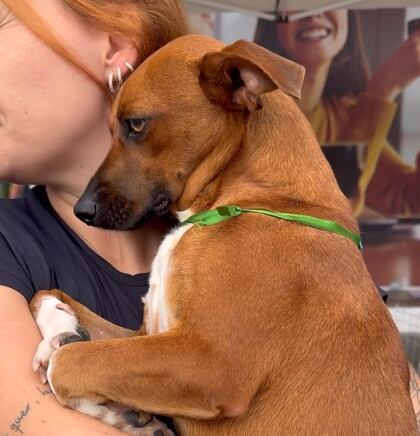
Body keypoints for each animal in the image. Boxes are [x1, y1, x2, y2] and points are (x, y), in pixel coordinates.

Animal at [30, 35, 417, 435]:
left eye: (136, 124)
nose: (81, 211)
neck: (262, 199)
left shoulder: (209, 361)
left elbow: (69, 363)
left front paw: (102, 403)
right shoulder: (150, 338)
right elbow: (47, 296)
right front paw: (60, 330)